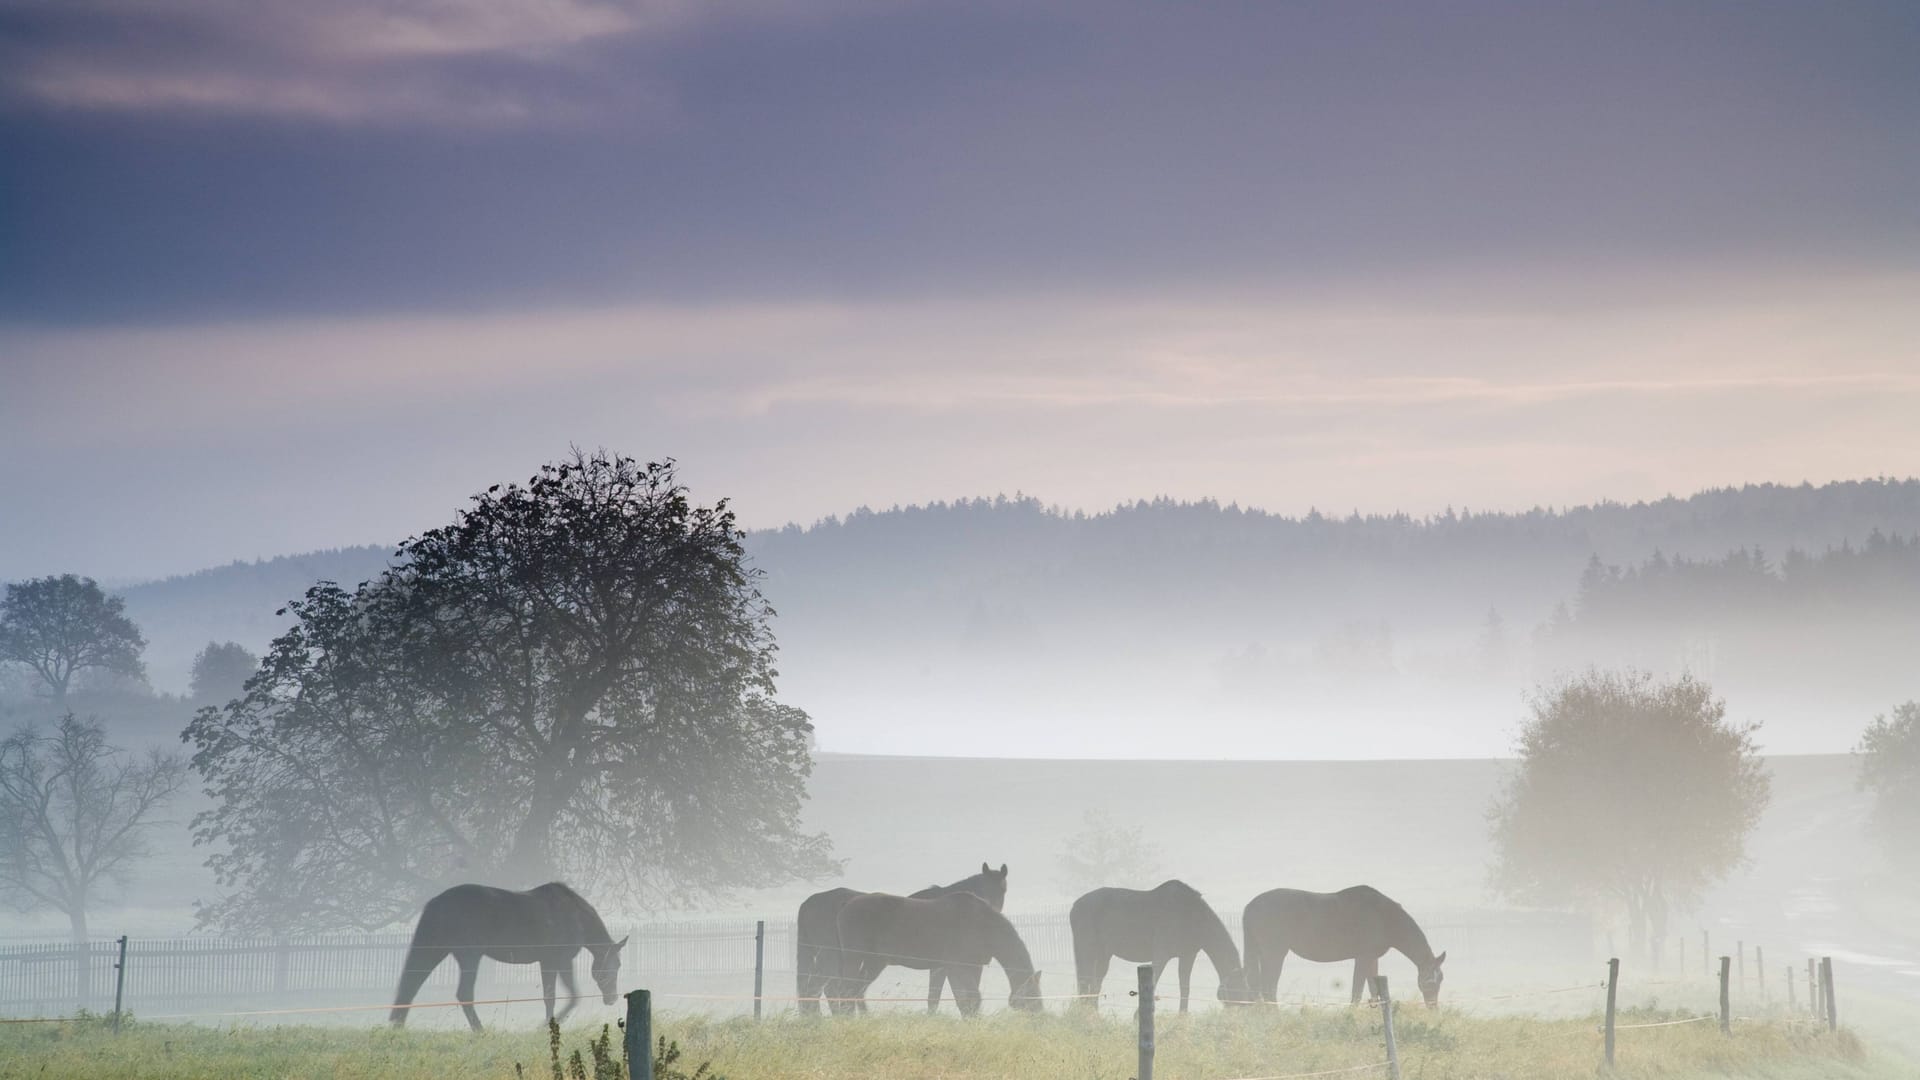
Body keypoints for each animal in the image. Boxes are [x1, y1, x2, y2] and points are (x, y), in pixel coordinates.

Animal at [389, 880, 629, 1030]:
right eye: (615, 966)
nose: (612, 998)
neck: (576, 915)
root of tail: (436, 902)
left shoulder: (548, 962)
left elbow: (550, 997)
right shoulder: (558, 960)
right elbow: (566, 996)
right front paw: (545, 1027)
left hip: (435, 950)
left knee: (411, 985)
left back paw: (398, 1026)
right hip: (468, 956)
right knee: (464, 993)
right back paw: (481, 1031)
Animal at [794, 857, 1013, 1006]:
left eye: (1003, 890)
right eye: (984, 887)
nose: (991, 911)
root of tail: (809, 903)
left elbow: (935, 997)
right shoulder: (944, 966)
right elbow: (939, 996)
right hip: (833, 958)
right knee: (825, 988)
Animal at [837, 887, 1044, 1014]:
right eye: (1032, 996)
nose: (1040, 1016)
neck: (983, 925)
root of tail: (846, 907)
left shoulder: (971, 967)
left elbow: (962, 1001)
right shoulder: (956, 968)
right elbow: (969, 999)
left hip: (875, 962)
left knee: (857, 990)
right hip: (854, 957)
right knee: (847, 989)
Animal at [1075, 876, 1251, 1006]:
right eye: (1237, 992)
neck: (1192, 915)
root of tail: (1075, 905)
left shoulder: (1187, 956)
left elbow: (1185, 988)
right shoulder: (1161, 955)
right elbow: (1154, 983)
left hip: (1103, 955)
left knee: (1094, 985)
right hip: (1087, 952)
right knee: (1085, 983)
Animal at [1244, 880, 1443, 1006]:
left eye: (1440, 979)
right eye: (1429, 981)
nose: (1433, 1008)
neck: (1383, 916)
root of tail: (1251, 905)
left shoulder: (1372, 959)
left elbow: (1373, 990)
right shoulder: (1363, 958)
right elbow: (1357, 992)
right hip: (1274, 954)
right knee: (1268, 987)